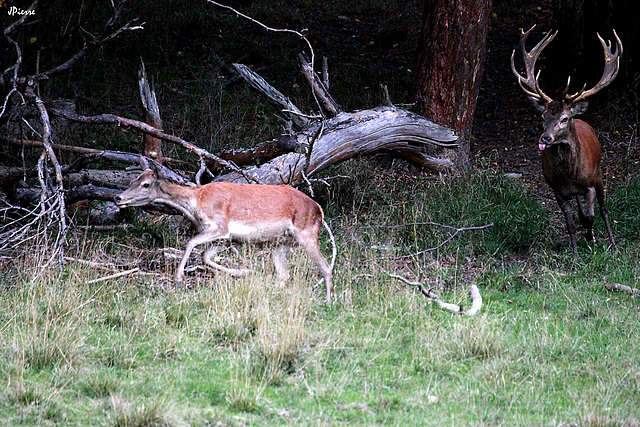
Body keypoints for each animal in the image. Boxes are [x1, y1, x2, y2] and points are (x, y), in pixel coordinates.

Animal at [115, 159, 336, 302]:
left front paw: (178, 279)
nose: (118, 198)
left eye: (145, 184)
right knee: (284, 274)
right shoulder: (227, 238)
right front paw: (244, 271)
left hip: (306, 232)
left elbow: (191, 243)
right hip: (279, 242)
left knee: (325, 266)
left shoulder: (221, 226)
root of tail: (319, 209)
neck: (195, 203)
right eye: (132, 180)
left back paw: (328, 300)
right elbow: (205, 256)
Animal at [510, 26, 620, 256]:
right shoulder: (557, 190)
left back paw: (612, 244)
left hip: (599, 173)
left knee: (604, 209)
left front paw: (590, 236)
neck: (569, 175)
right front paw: (576, 254)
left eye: (563, 118)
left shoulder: (589, 184)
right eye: (543, 116)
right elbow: (570, 224)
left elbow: (591, 216)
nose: (545, 138)